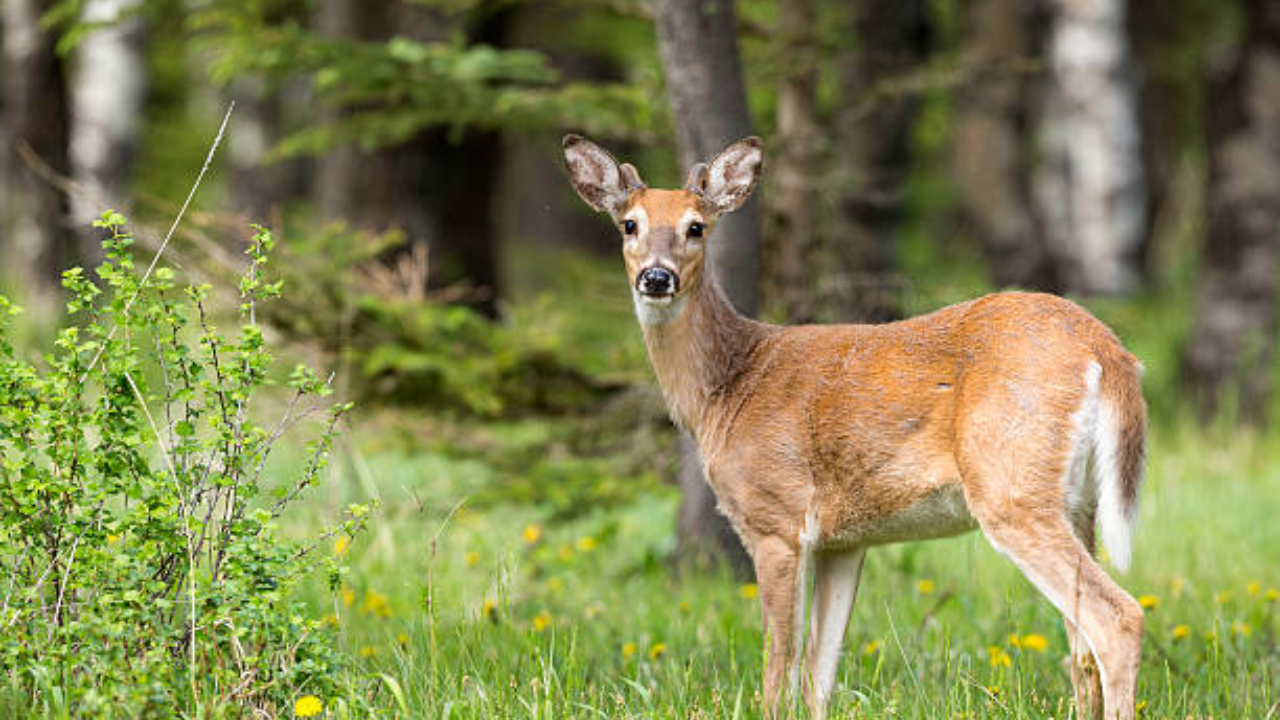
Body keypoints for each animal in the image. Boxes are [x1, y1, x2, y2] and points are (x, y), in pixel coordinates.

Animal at [562, 134, 1147, 720]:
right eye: (629, 224)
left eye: (696, 227)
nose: (656, 277)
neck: (726, 390)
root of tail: (1108, 351)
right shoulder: (844, 541)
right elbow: (818, 675)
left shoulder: (777, 518)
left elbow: (779, 671)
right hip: (1077, 502)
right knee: (1082, 653)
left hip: (1010, 485)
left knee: (1118, 619)